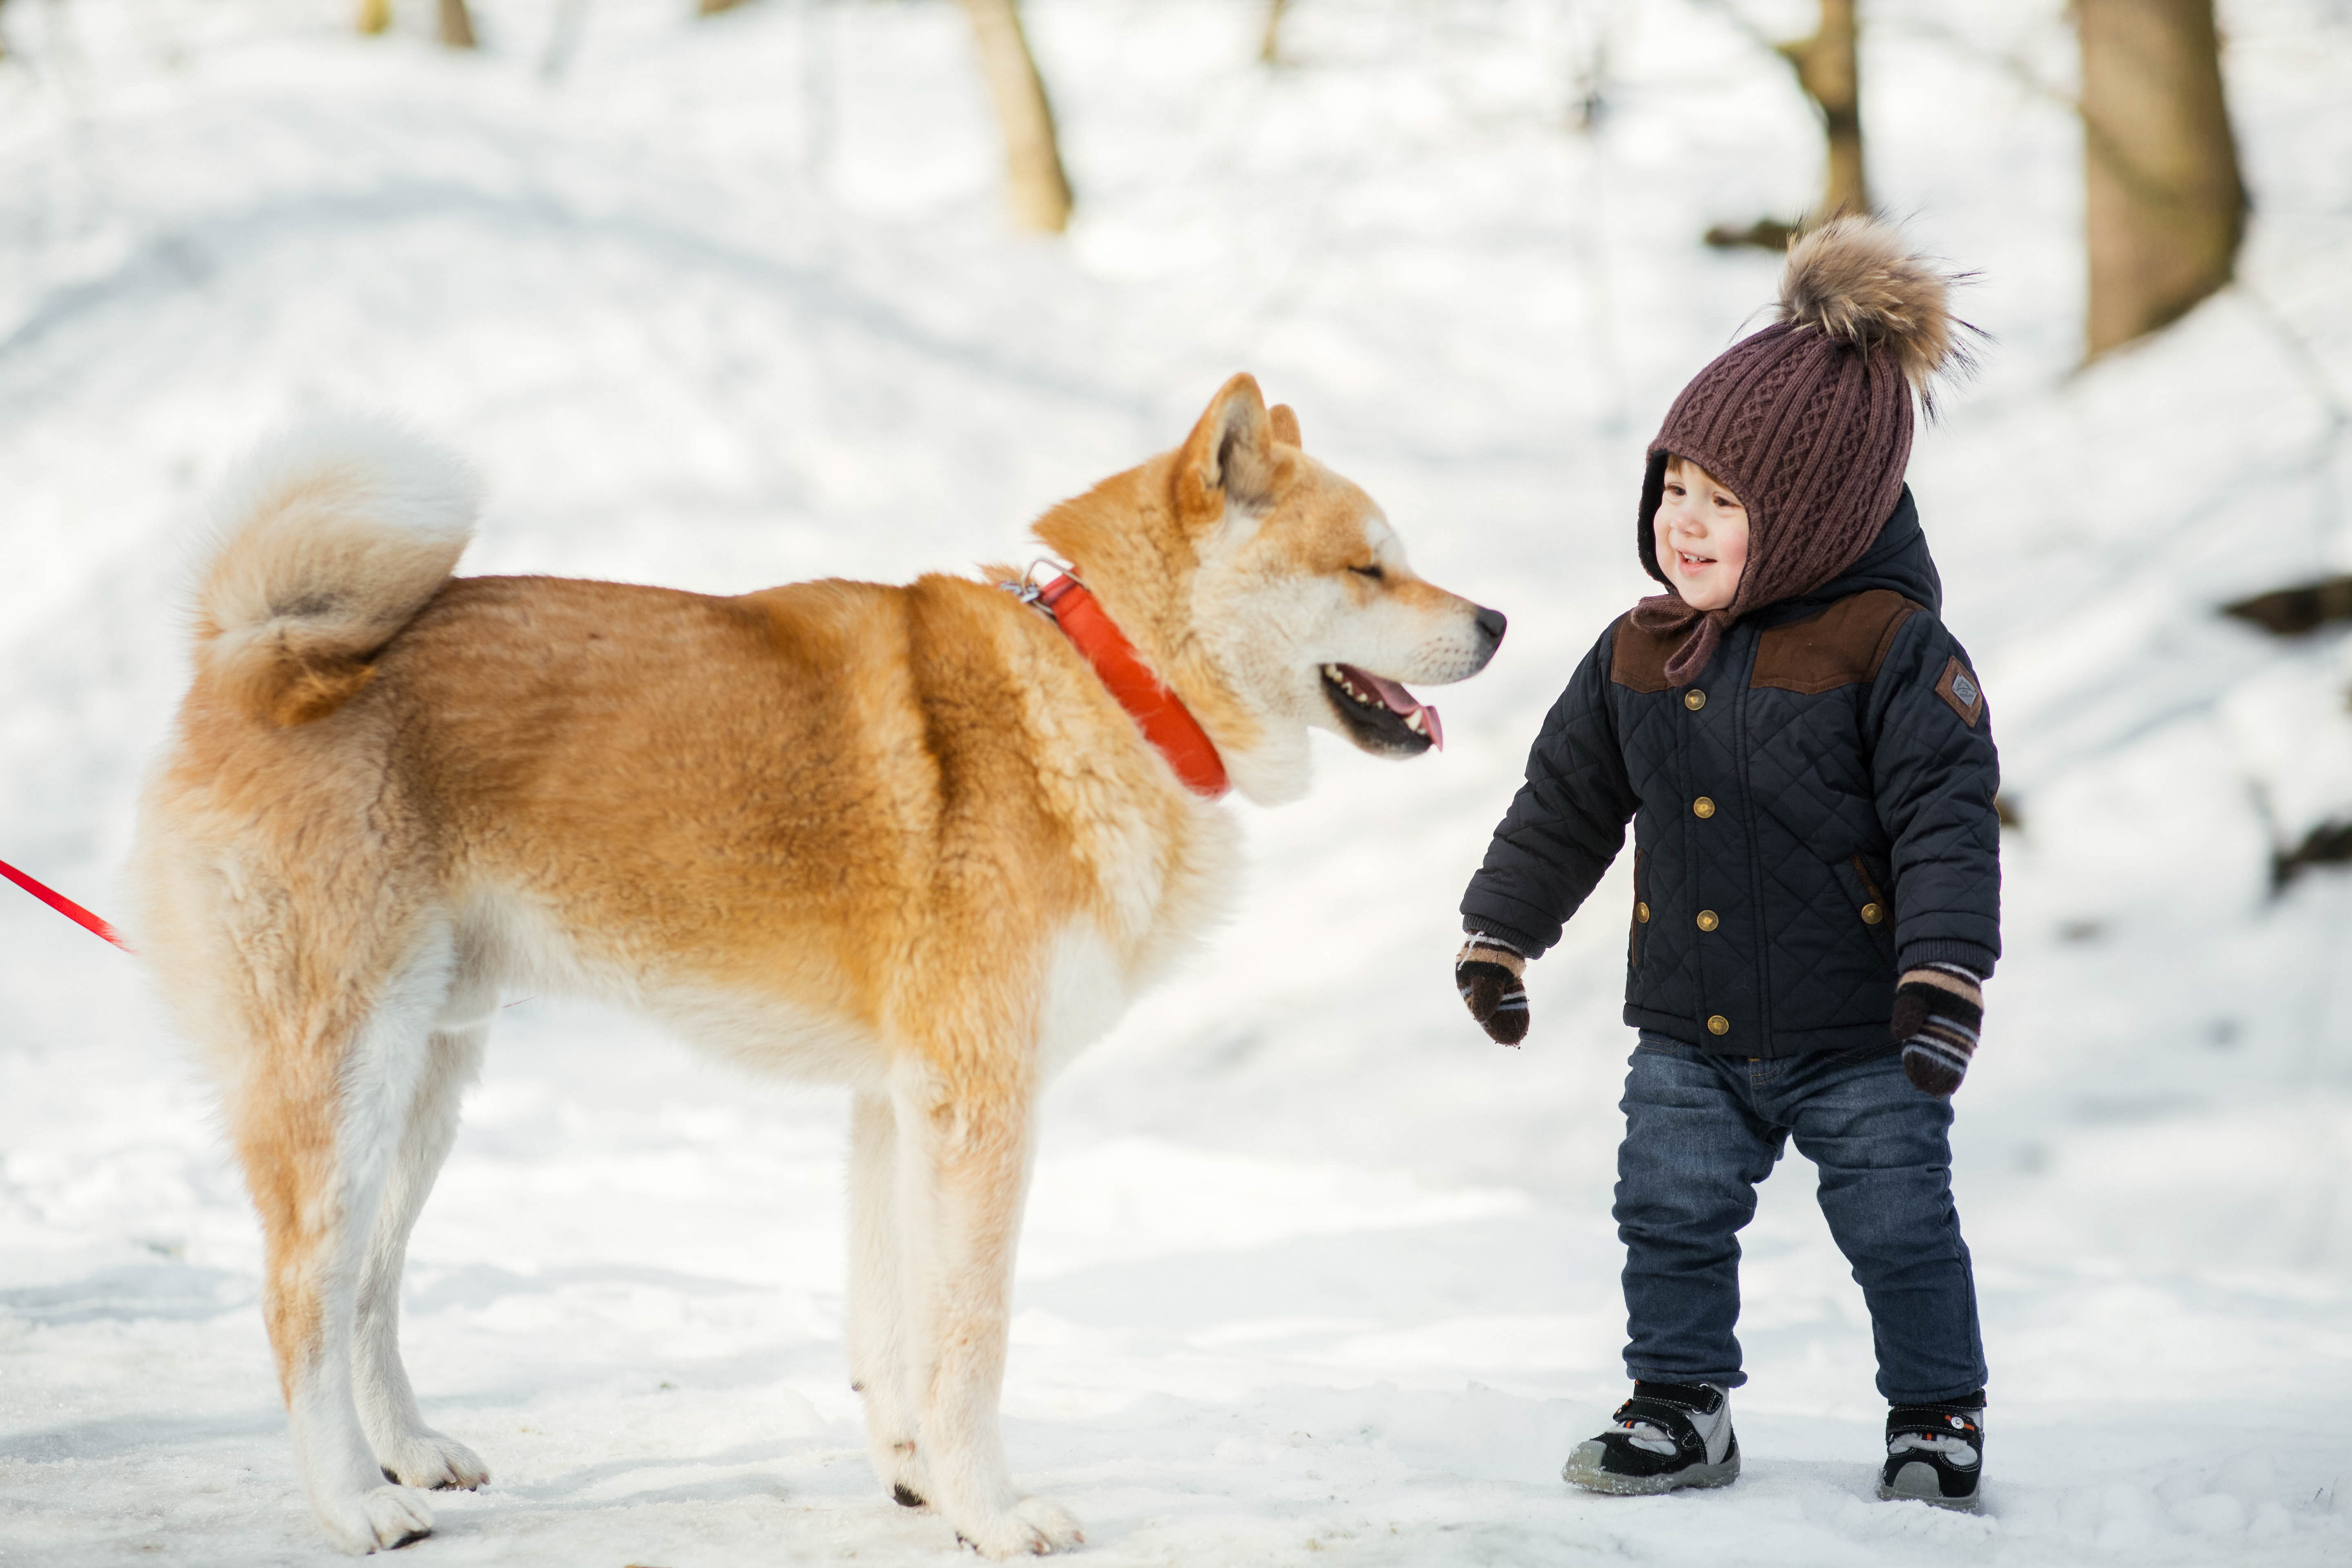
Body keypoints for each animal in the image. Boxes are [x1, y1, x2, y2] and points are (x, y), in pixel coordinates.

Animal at [133, 376, 1505, 1561]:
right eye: (1368, 565)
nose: (1497, 621)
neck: (1110, 687)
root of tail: (246, 653)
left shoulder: (896, 1109)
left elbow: (894, 1329)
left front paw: (920, 1481)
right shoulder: (978, 1107)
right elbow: (970, 1339)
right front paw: (993, 1512)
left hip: (427, 1085)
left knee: (369, 1287)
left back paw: (410, 1453)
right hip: (346, 1081)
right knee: (300, 1297)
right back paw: (352, 1504)